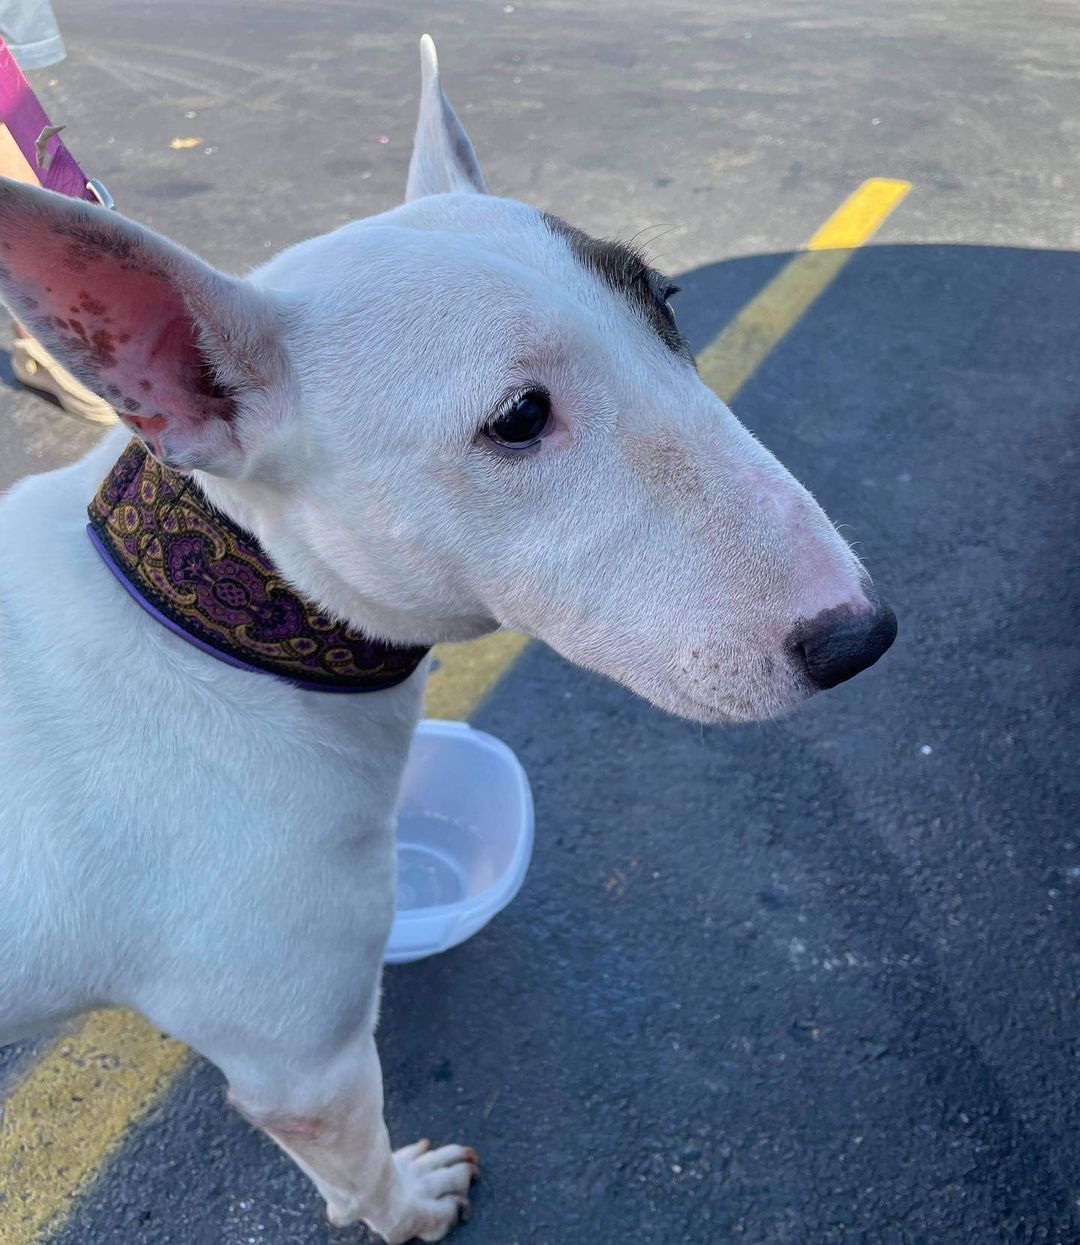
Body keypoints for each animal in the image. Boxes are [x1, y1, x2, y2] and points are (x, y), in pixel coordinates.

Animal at [0, 36, 896, 1245]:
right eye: (517, 418)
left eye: (665, 302)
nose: (861, 634)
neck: (213, 625)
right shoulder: (305, 1063)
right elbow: (353, 1160)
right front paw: (410, 1206)